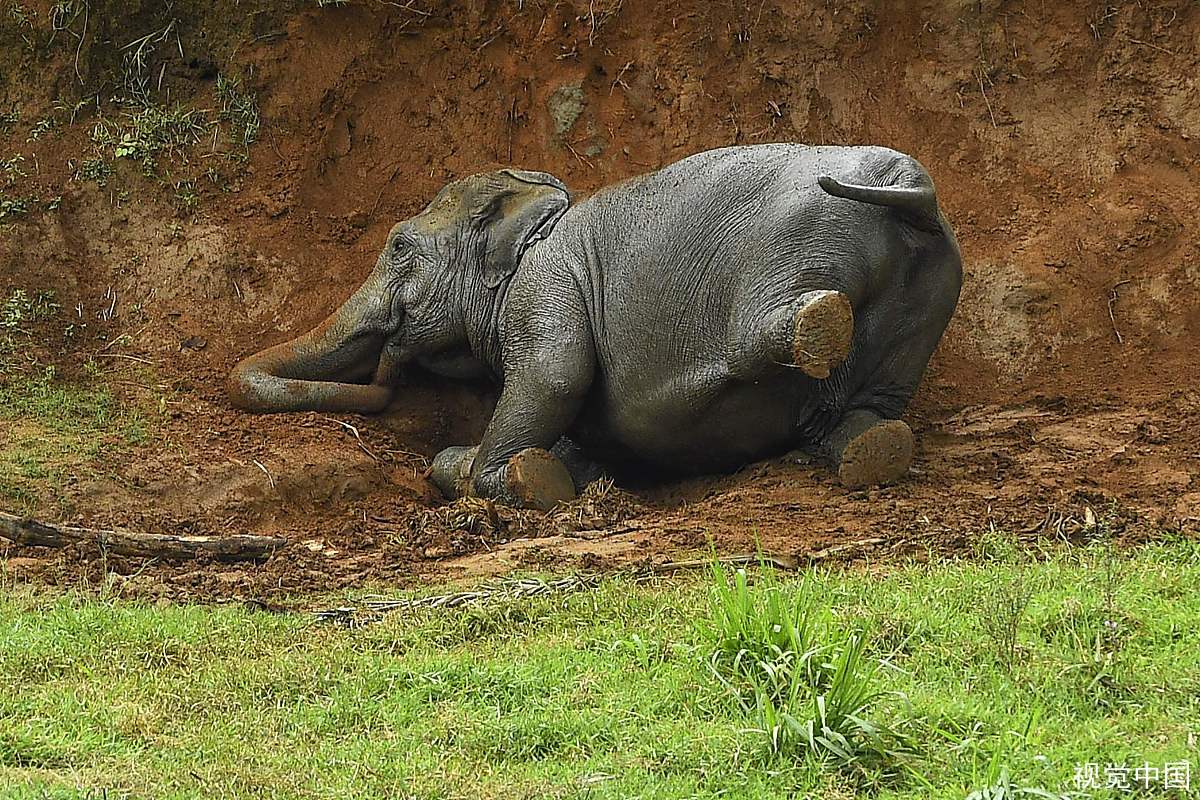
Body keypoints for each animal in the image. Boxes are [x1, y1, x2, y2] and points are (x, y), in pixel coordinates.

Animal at [229, 143, 964, 510]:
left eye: (400, 247)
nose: (386, 371)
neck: (535, 215)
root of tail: (912, 186)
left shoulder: (543, 290)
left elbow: (553, 380)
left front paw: (512, 483)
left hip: (803, 242)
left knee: (764, 334)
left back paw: (816, 328)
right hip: (927, 298)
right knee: (872, 408)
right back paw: (871, 450)